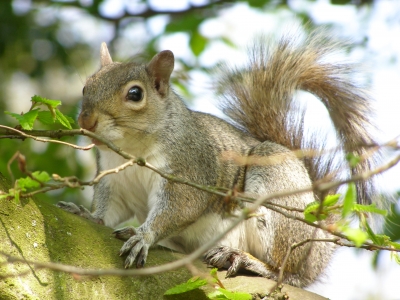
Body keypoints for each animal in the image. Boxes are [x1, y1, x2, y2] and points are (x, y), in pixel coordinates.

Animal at [56, 31, 376, 288]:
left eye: (135, 93)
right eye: (86, 86)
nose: (86, 120)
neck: (131, 150)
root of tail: (319, 250)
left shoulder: (188, 168)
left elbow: (180, 208)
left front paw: (143, 236)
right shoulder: (114, 181)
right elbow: (107, 211)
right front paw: (86, 214)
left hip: (277, 192)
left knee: (286, 271)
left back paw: (245, 258)